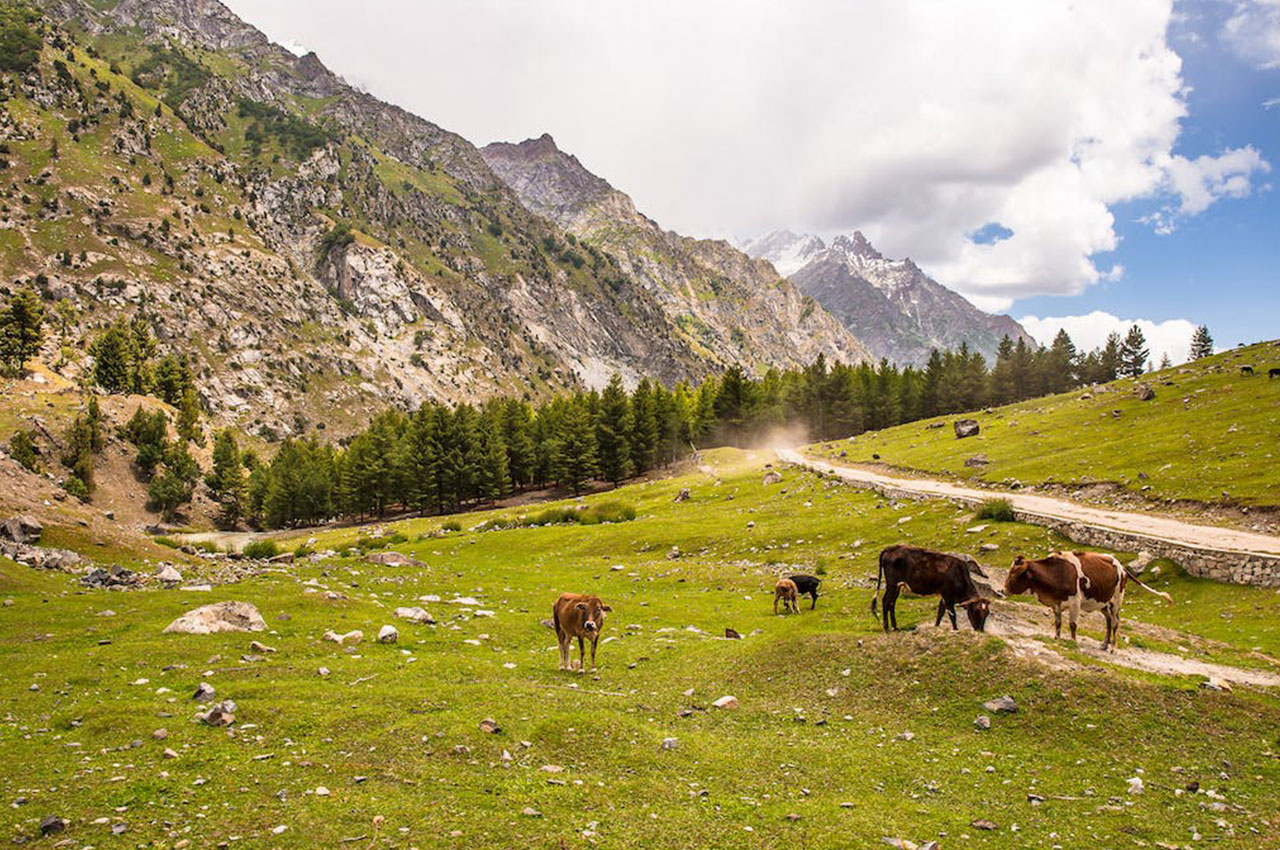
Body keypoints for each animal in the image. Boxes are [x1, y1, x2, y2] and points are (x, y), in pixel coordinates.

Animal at [1003, 550, 1172, 650]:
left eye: (1016, 574)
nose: (1002, 590)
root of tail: (1122, 567)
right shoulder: (1056, 603)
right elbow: (1058, 623)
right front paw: (1057, 638)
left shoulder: (1075, 603)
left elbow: (1072, 624)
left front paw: (1072, 641)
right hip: (1103, 602)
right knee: (1108, 621)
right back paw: (1104, 644)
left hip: (1116, 601)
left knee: (1116, 622)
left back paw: (1113, 647)